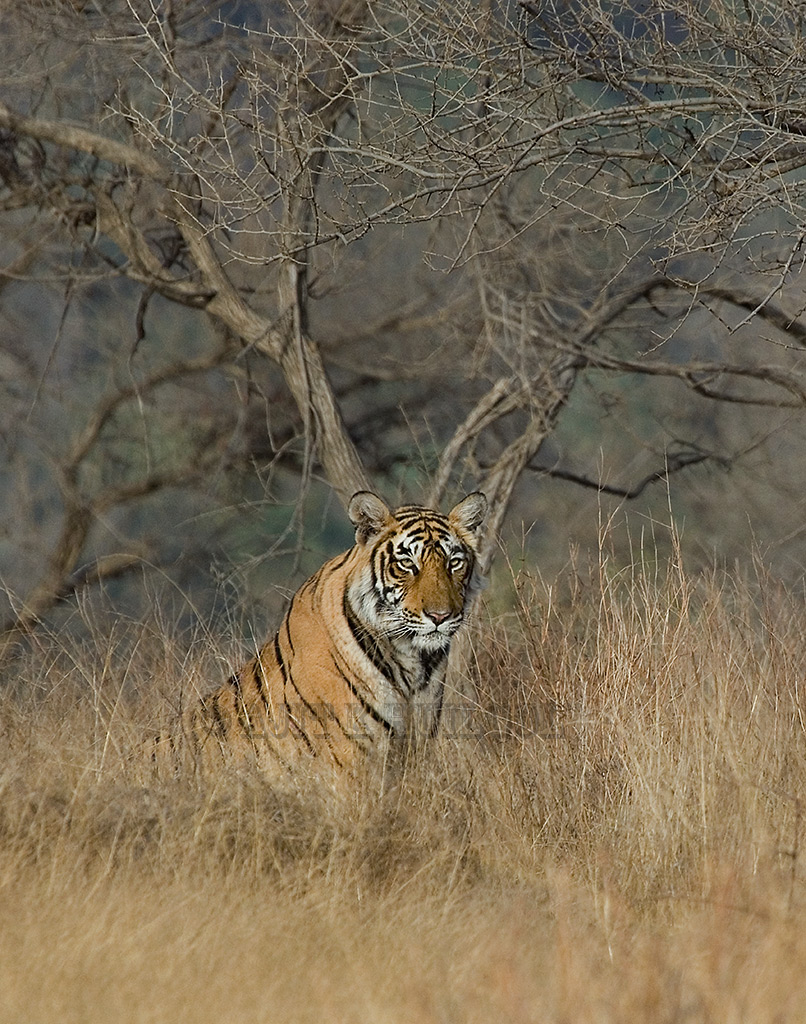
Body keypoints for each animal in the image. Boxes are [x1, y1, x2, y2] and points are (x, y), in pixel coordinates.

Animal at [156, 490, 488, 773]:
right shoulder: (347, 757)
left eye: (454, 563)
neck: (413, 663)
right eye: (407, 563)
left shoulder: (418, 743)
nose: (440, 616)